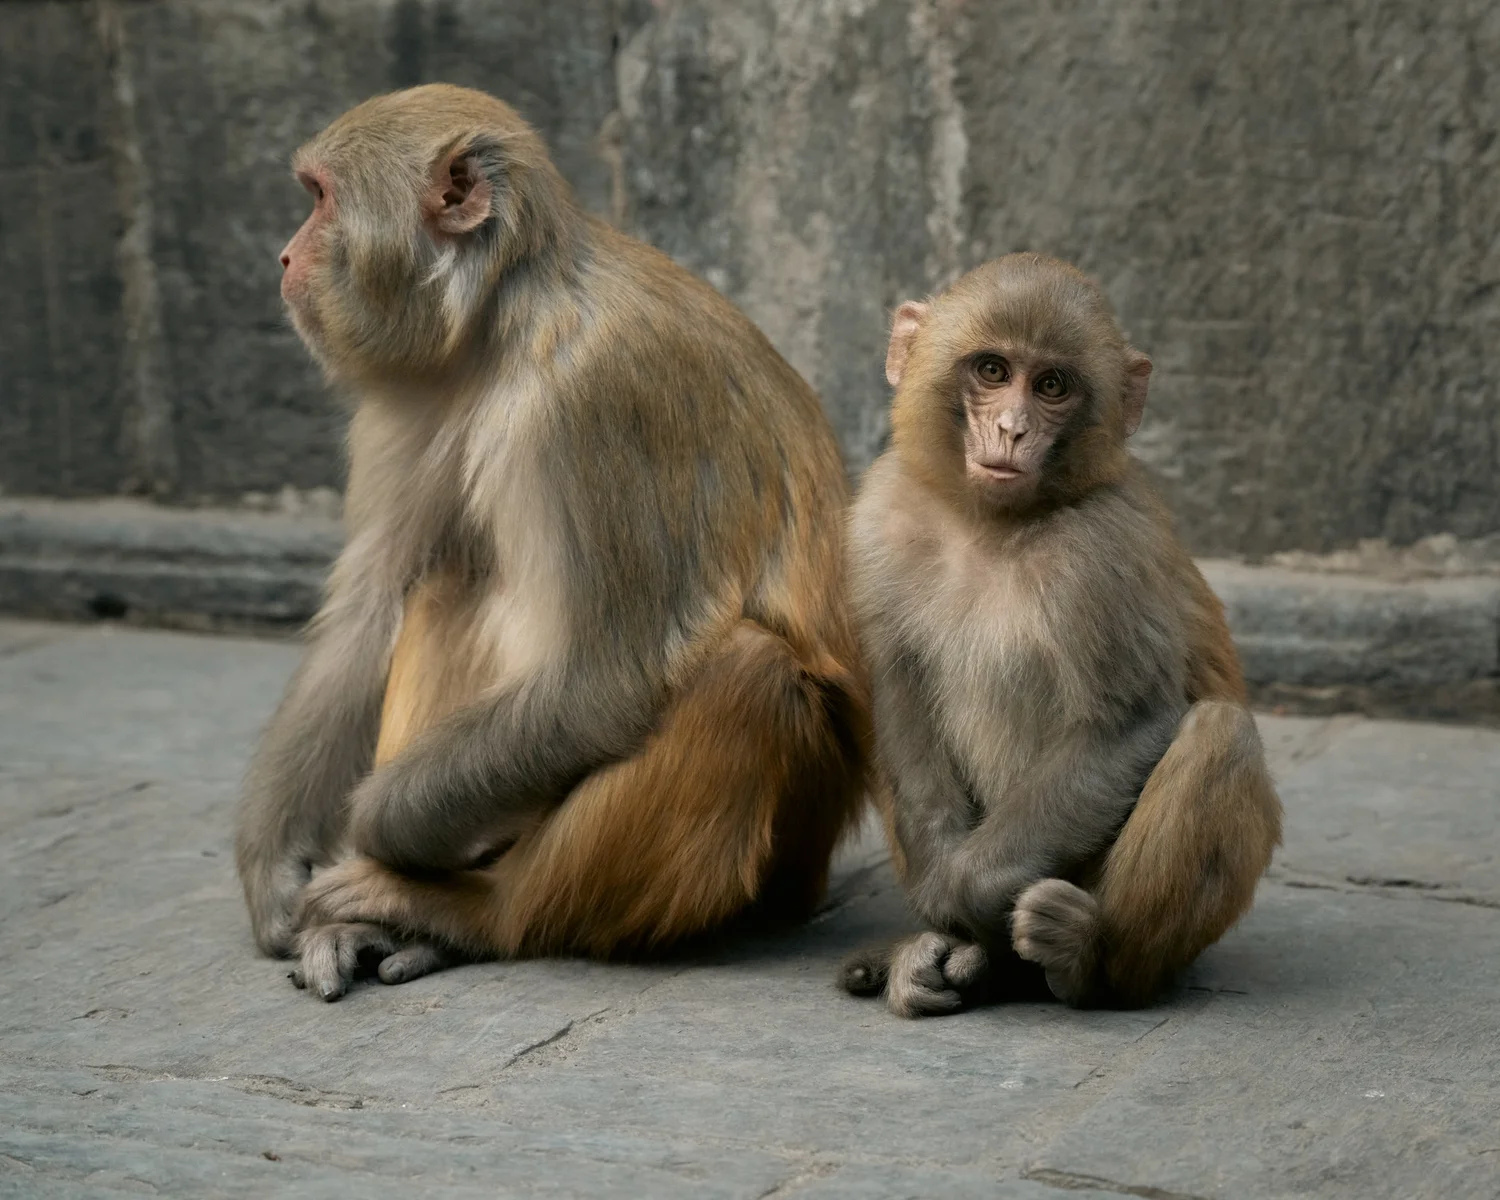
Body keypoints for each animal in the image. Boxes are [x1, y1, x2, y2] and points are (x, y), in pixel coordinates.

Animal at [233, 84, 868, 1000]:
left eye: (319, 199)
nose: (284, 258)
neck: (502, 321)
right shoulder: (411, 400)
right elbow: (369, 610)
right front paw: (275, 863)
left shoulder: (593, 399)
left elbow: (605, 679)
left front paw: (370, 827)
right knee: (448, 581)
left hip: (789, 850)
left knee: (747, 677)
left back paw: (470, 911)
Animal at [836, 253, 1282, 1017]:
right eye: (992, 370)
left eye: (1051, 386)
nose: (1013, 429)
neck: (989, 524)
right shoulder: (882, 513)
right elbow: (899, 695)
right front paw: (941, 917)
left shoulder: (1102, 551)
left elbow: (1128, 723)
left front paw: (962, 895)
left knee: (1221, 735)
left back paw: (1084, 958)